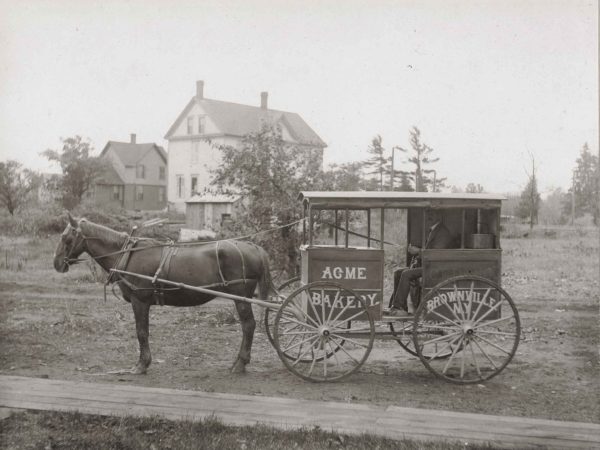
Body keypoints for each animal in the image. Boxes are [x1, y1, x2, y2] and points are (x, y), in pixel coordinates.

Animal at [51, 213, 272, 374]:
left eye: (66, 238)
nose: (57, 263)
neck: (127, 254)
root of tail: (255, 247)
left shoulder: (139, 301)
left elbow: (141, 332)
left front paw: (141, 365)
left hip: (241, 298)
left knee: (248, 326)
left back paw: (240, 363)